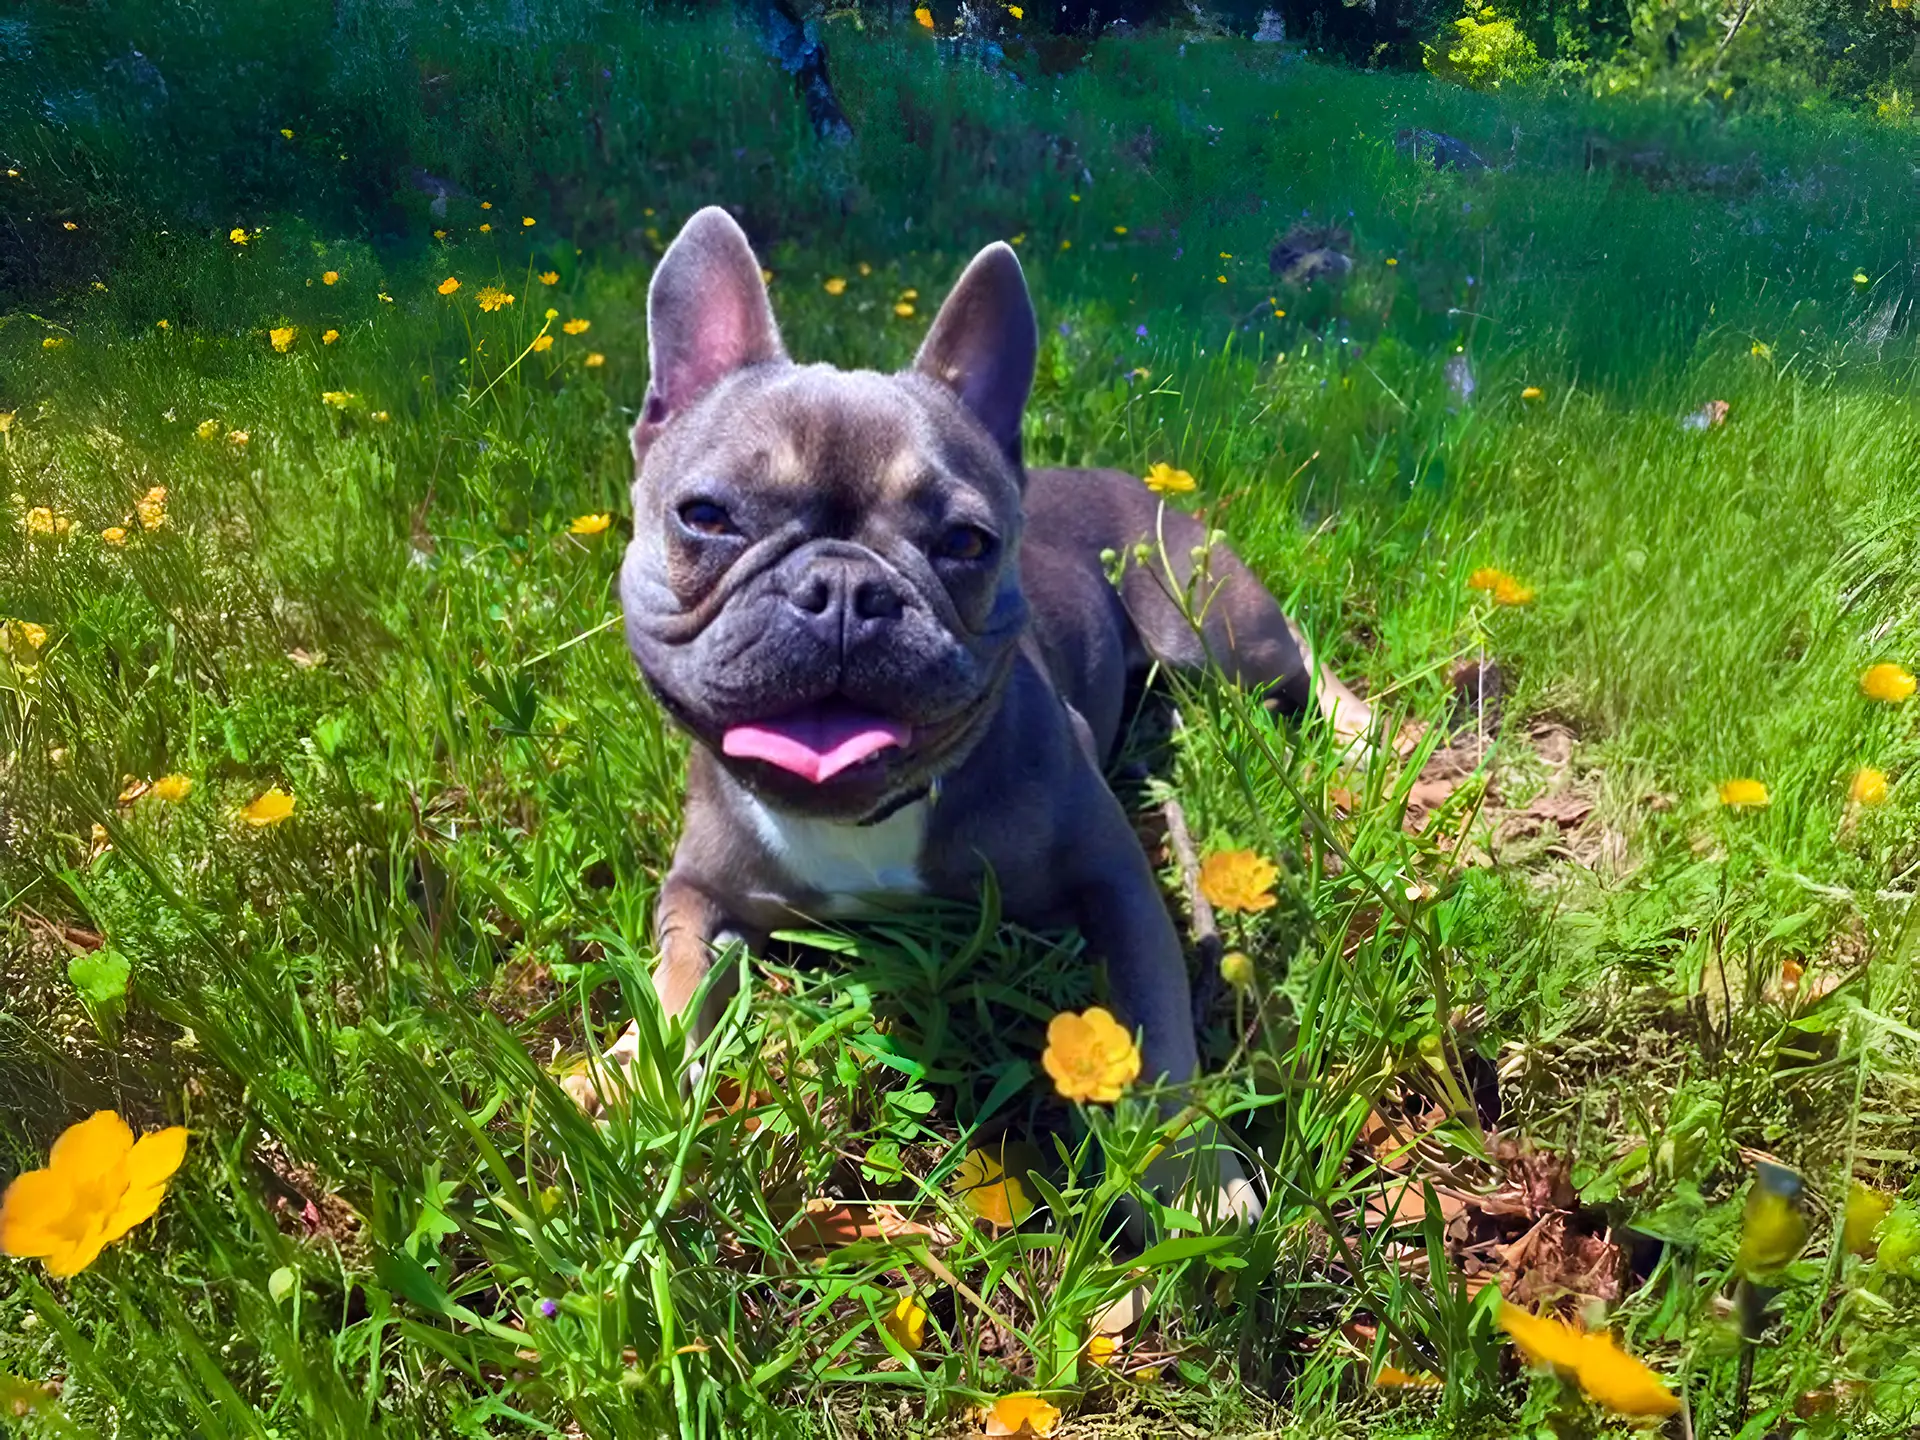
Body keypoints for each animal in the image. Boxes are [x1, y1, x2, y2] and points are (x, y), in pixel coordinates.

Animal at [568, 200, 1382, 1221]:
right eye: (707, 516)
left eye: (965, 542)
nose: (844, 590)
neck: (868, 819)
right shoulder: (698, 892)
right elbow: (674, 990)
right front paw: (627, 1074)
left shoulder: (1116, 879)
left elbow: (1157, 1035)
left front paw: (1190, 1174)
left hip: (1219, 629)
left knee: (1298, 654)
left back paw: (1360, 733)